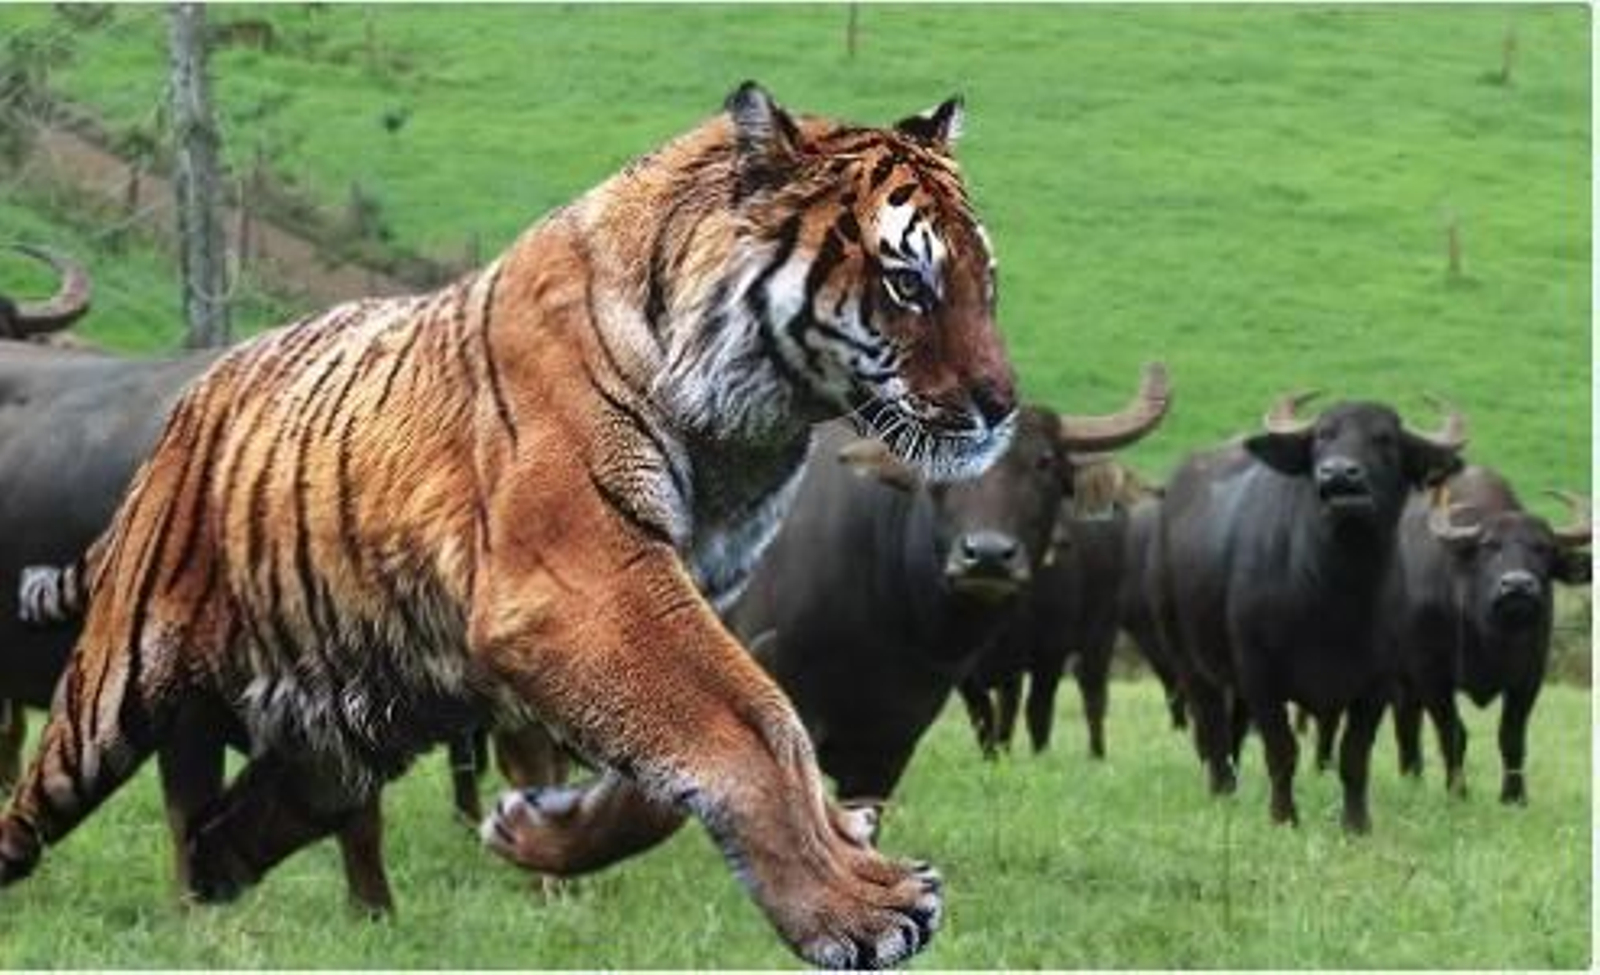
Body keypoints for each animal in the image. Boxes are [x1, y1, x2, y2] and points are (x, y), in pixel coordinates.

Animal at [0, 82, 1014, 969]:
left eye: (985, 284)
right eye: (910, 284)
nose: (1003, 406)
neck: (750, 426)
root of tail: (188, 406)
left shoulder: (693, 592)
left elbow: (684, 761)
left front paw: (540, 833)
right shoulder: (583, 583)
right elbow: (756, 723)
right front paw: (859, 909)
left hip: (344, 732)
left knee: (235, 829)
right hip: (114, 693)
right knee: (34, 806)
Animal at [1153, 393, 1465, 832]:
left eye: (1384, 439)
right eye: (1321, 437)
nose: (1338, 474)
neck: (1333, 596)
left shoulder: (1377, 684)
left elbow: (1354, 755)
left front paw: (1357, 824)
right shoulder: (1260, 675)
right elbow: (1282, 750)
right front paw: (1283, 818)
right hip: (1187, 656)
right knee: (1211, 725)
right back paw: (1222, 791)